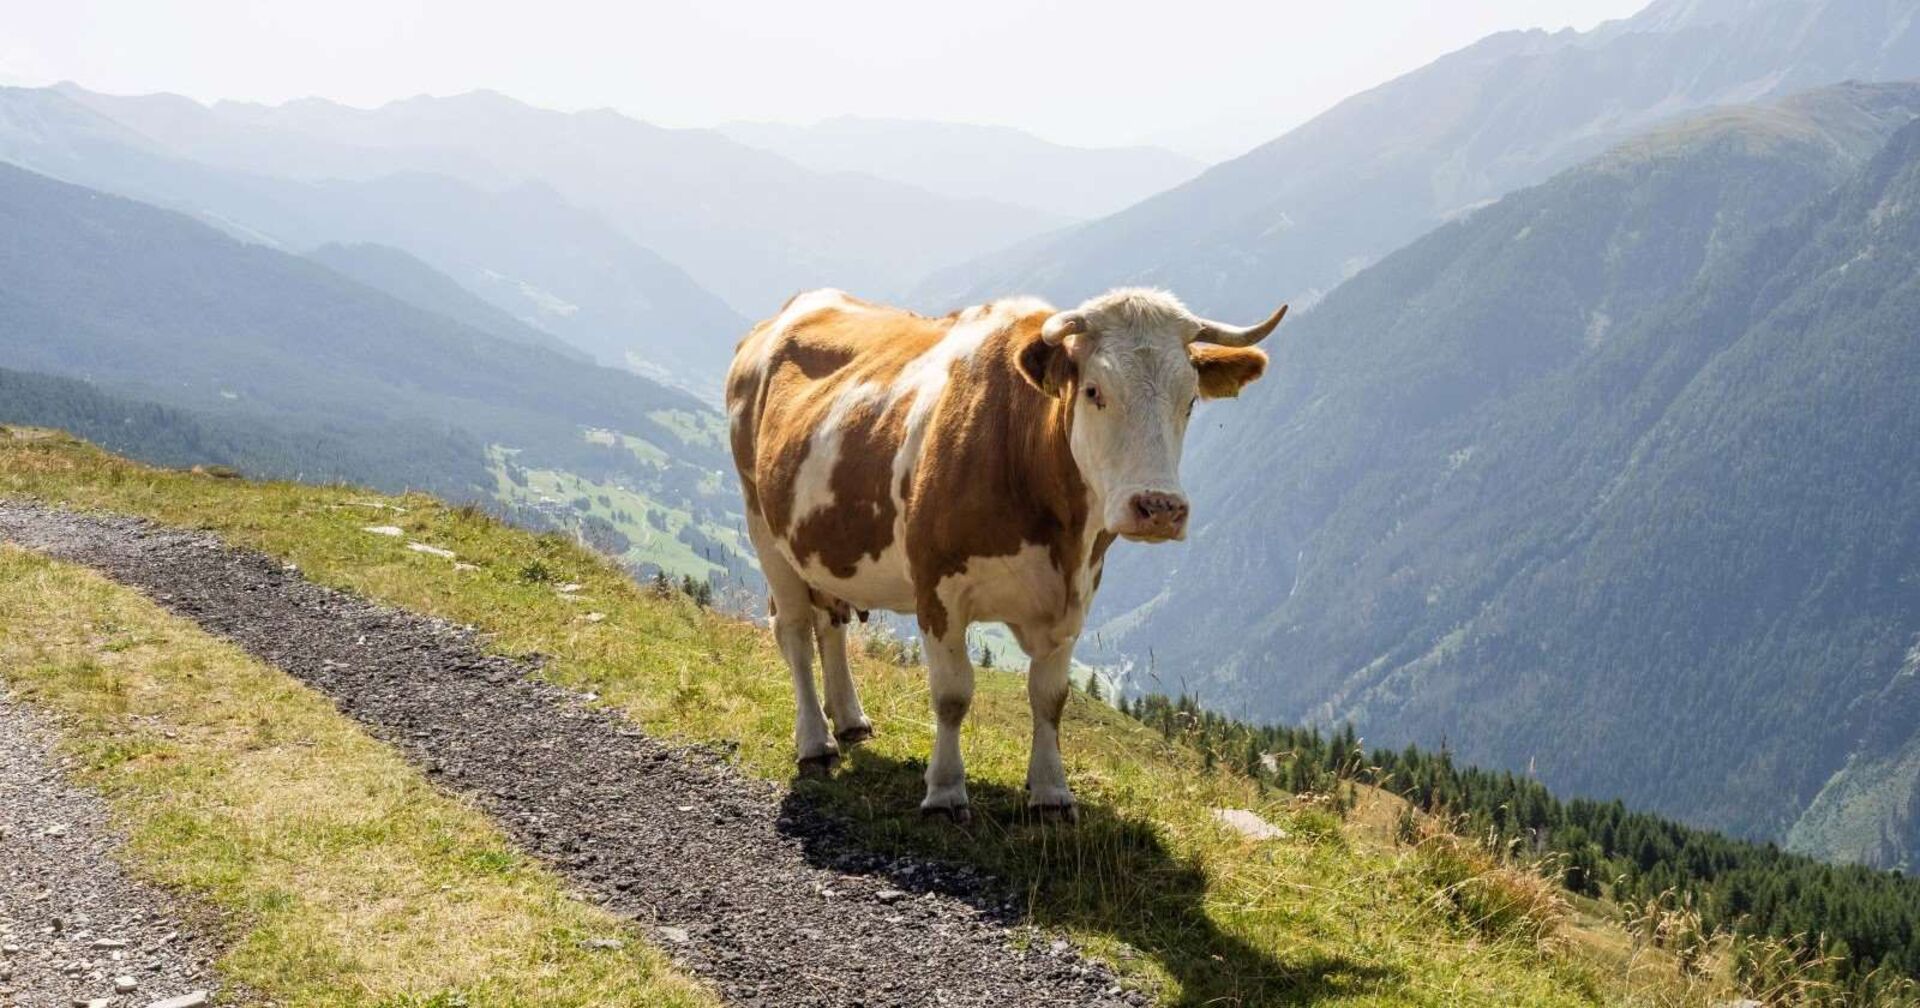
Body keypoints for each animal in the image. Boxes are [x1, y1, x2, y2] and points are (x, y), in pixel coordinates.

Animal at [726, 287, 1282, 821]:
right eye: (1094, 391)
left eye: (1189, 401)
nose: (1160, 507)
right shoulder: (937, 590)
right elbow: (952, 694)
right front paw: (945, 791)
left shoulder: (1075, 597)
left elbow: (1050, 698)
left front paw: (1051, 792)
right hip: (762, 525)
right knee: (795, 630)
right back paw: (815, 743)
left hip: (822, 548)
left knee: (830, 624)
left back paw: (849, 720)